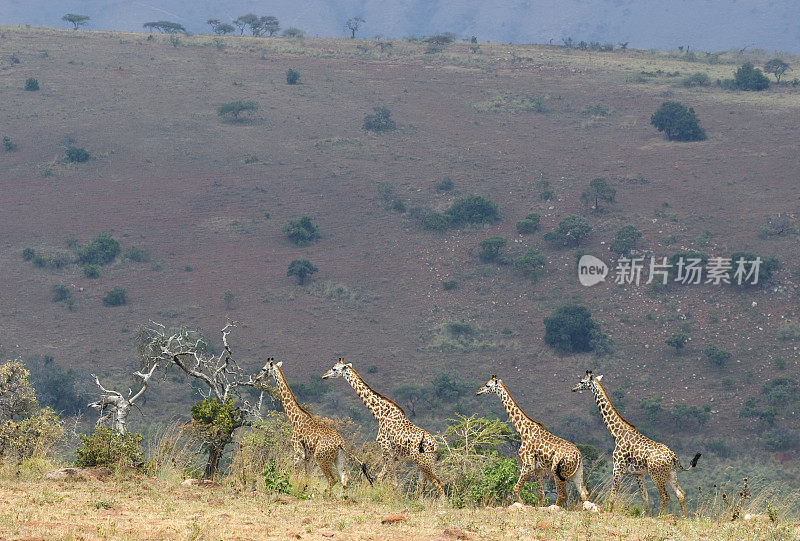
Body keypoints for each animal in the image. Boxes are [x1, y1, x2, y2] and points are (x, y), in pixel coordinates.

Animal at [255, 358, 370, 490]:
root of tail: (341, 443)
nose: (257, 378)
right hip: (339, 458)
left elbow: (295, 475)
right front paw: (305, 489)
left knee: (332, 479)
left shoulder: (298, 452)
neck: (295, 418)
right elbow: (307, 477)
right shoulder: (308, 456)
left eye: (264, 369)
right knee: (344, 479)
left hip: (321, 459)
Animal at [320, 356, 446, 496]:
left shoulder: (386, 452)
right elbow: (381, 479)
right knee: (422, 487)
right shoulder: (394, 457)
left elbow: (392, 483)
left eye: (334, 368)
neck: (380, 415)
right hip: (424, 463)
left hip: (424, 463)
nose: (323, 376)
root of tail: (436, 447)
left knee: (439, 484)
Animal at [478, 376, 592, 506]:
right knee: (583, 493)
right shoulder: (539, 469)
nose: (478, 392)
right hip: (577, 472)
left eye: (488, 385)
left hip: (558, 472)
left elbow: (515, 489)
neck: (523, 430)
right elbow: (541, 495)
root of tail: (578, 454)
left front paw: (522, 505)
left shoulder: (528, 464)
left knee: (562, 496)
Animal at [572, 372, 696, 516]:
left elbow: (613, 496)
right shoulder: (638, 473)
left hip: (657, 474)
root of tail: (672, 456)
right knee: (681, 493)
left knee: (665, 496)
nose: (573, 388)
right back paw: (684, 517)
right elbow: (644, 497)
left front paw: (610, 513)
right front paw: (648, 516)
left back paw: (660, 517)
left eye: (582, 381)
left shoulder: (617, 468)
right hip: (671, 473)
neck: (616, 433)